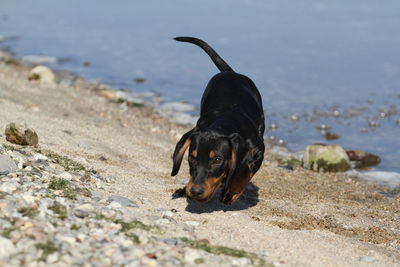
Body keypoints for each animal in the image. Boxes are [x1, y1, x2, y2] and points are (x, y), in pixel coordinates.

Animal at [170, 37, 264, 205]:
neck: (225, 120)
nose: (195, 191)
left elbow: (245, 171)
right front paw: (185, 188)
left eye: (217, 159)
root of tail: (230, 72)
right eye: (191, 157)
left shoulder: (259, 150)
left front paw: (231, 191)